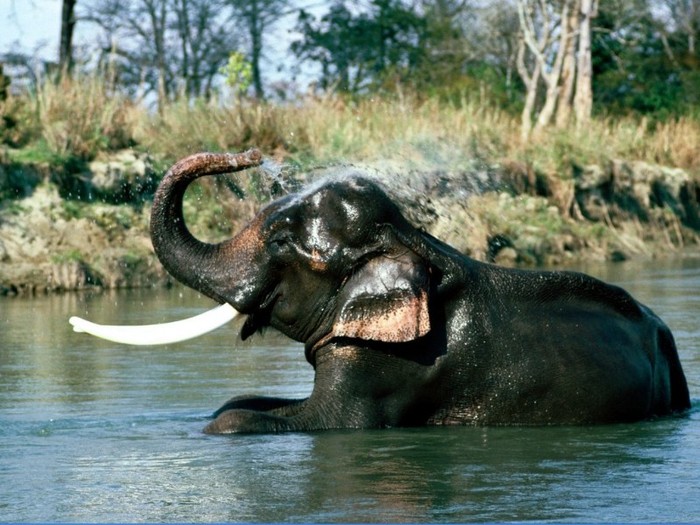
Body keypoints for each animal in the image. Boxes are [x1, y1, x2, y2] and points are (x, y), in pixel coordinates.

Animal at [149, 149, 690, 434]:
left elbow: (325, 420)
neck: (408, 239)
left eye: (282, 239)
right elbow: (243, 400)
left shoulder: (390, 364)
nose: (252, 156)